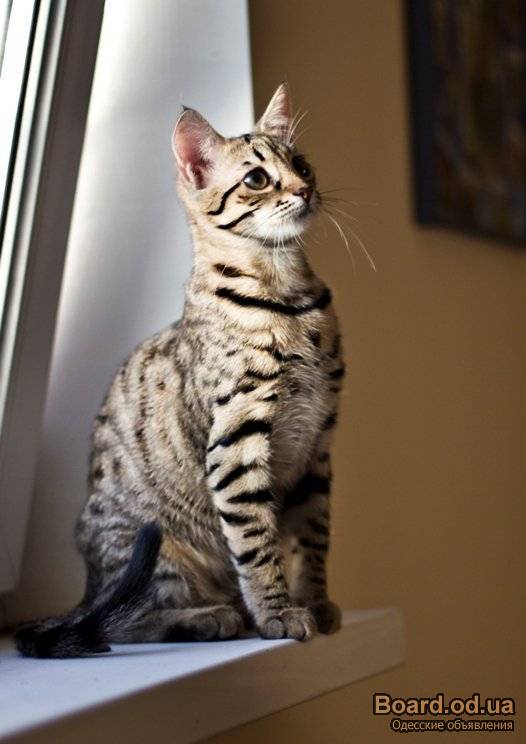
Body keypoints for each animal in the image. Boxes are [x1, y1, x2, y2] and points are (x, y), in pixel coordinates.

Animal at [15, 83, 344, 657]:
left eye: (302, 163)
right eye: (257, 179)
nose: (305, 189)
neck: (288, 300)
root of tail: (87, 590)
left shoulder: (317, 446)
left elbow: (313, 537)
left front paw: (315, 601)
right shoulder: (235, 442)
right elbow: (256, 543)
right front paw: (278, 613)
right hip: (154, 548)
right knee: (122, 624)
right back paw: (209, 617)